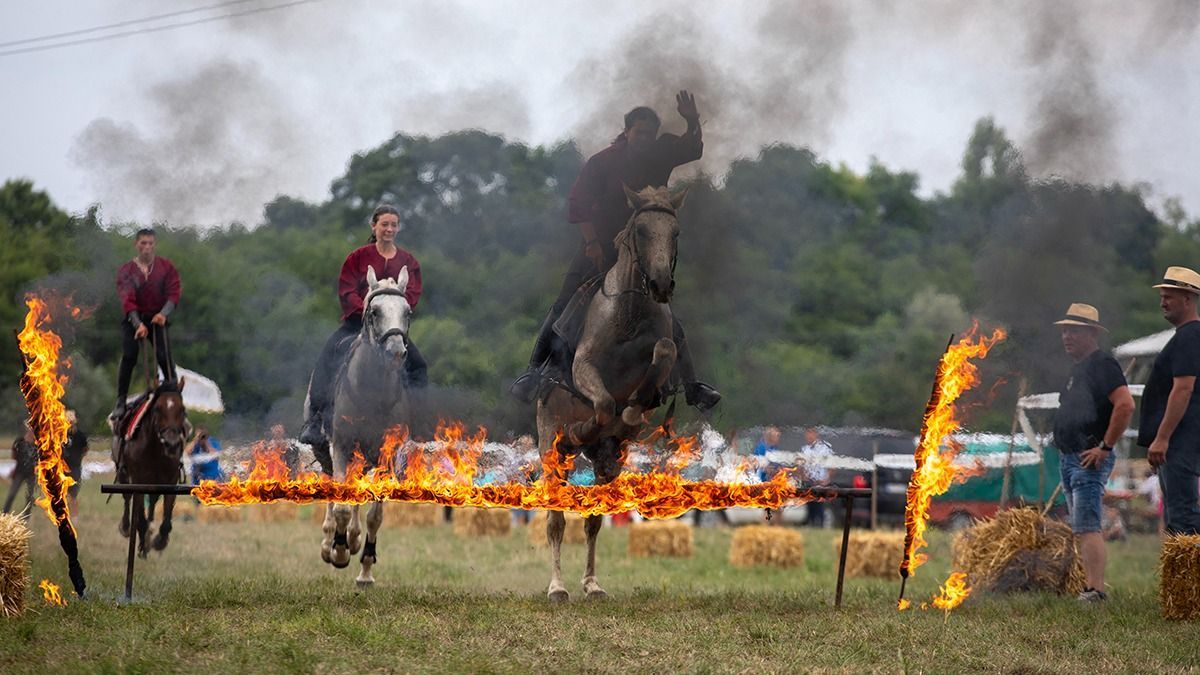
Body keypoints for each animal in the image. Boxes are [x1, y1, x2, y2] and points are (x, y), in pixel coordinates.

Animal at [112, 379, 187, 557]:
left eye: (182, 409)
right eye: (157, 409)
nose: (171, 444)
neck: (154, 449)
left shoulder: (170, 481)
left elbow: (166, 516)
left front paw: (160, 540)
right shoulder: (137, 480)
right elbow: (139, 514)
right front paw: (143, 541)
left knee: (152, 502)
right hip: (123, 475)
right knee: (127, 499)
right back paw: (127, 527)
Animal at [319, 263, 412, 583]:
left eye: (407, 312)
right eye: (374, 312)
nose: (396, 352)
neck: (374, 393)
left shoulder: (386, 457)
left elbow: (375, 515)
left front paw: (366, 569)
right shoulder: (341, 448)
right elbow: (342, 507)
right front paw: (338, 550)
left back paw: (354, 538)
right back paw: (330, 541)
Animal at [535, 183, 686, 598]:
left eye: (675, 232)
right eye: (641, 231)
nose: (661, 285)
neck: (630, 314)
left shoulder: (660, 352)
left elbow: (661, 356)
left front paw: (632, 411)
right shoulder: (584, 366)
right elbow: (602, 401)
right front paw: (586, 426)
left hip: (609, 466)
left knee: (593, 520)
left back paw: (591, 584)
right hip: (549, 447)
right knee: (555, 521)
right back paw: (557, 587)